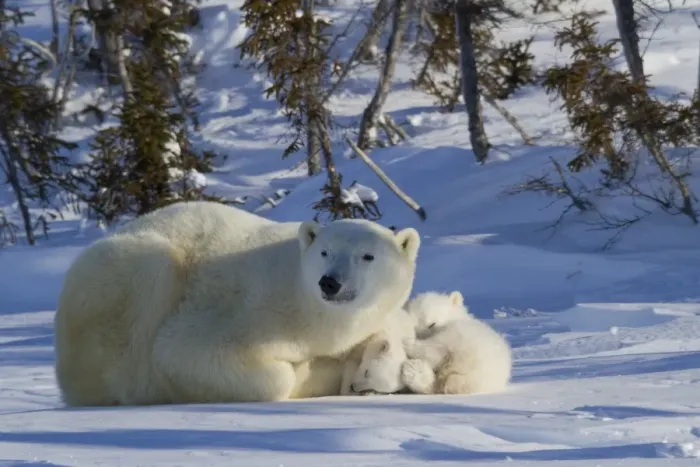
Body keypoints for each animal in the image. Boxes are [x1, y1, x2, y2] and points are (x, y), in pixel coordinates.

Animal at [53, 200, 421, 406]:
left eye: (367, 256)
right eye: (325, 252)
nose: (330, 283)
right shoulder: (249, 309)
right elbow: (181, 352)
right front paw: (306, 371)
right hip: (125, 278)